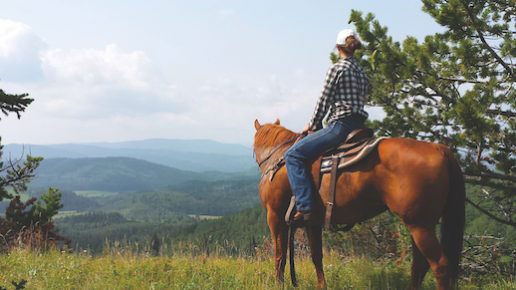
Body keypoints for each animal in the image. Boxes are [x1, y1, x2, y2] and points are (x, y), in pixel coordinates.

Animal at [252, 119, 466, 288]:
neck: (277, 159)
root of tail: (440, 149)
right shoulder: (312, 222)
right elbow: (316, 257)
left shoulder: (275, 216)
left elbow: (280, 255)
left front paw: (278, 284)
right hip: (419, 224)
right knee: (419, 265)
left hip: (420, 225)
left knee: (440, 265)